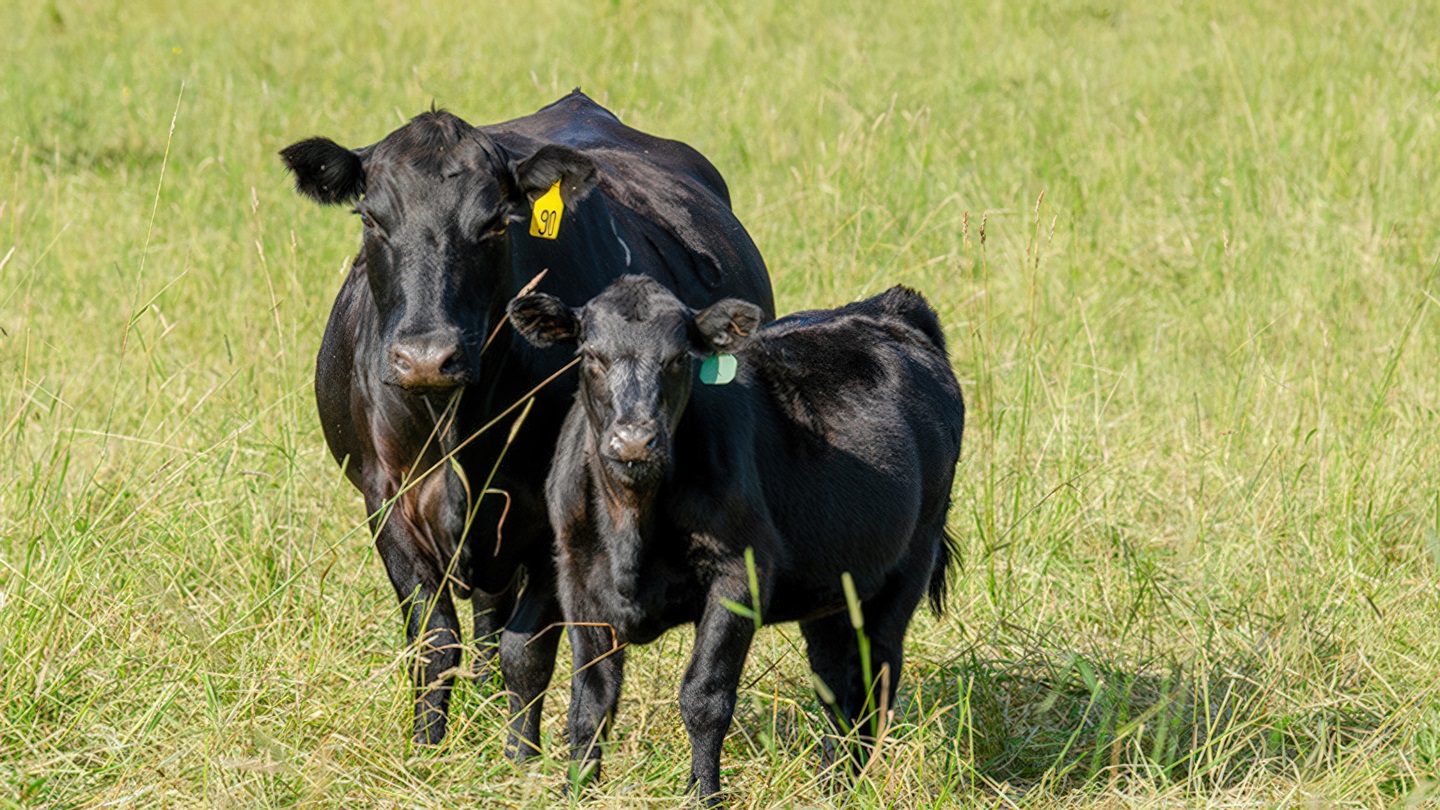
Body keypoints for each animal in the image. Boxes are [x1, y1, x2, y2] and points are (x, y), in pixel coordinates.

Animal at [278, 91, 774, 757]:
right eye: (372, 220)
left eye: (494, 223)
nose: (425, 357)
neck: (458, 425)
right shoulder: (385, 496)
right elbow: (433, 644)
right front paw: (427, 752)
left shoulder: (550, 515)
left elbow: (528, 652)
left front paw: (520, 759)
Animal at [506, 275, 964, 805]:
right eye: (590, 356)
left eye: (678, 358)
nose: (635, 441)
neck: (631, 525)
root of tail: (887, 306)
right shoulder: (577, 578)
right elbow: (590, 702)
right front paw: (575, 790)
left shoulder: (739, 573)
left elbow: (704, 697)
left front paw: (703, 794)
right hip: (832, 586)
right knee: (835, 681)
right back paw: (830, 782)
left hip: (909, 564)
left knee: (876, 676)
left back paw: (852, 785)